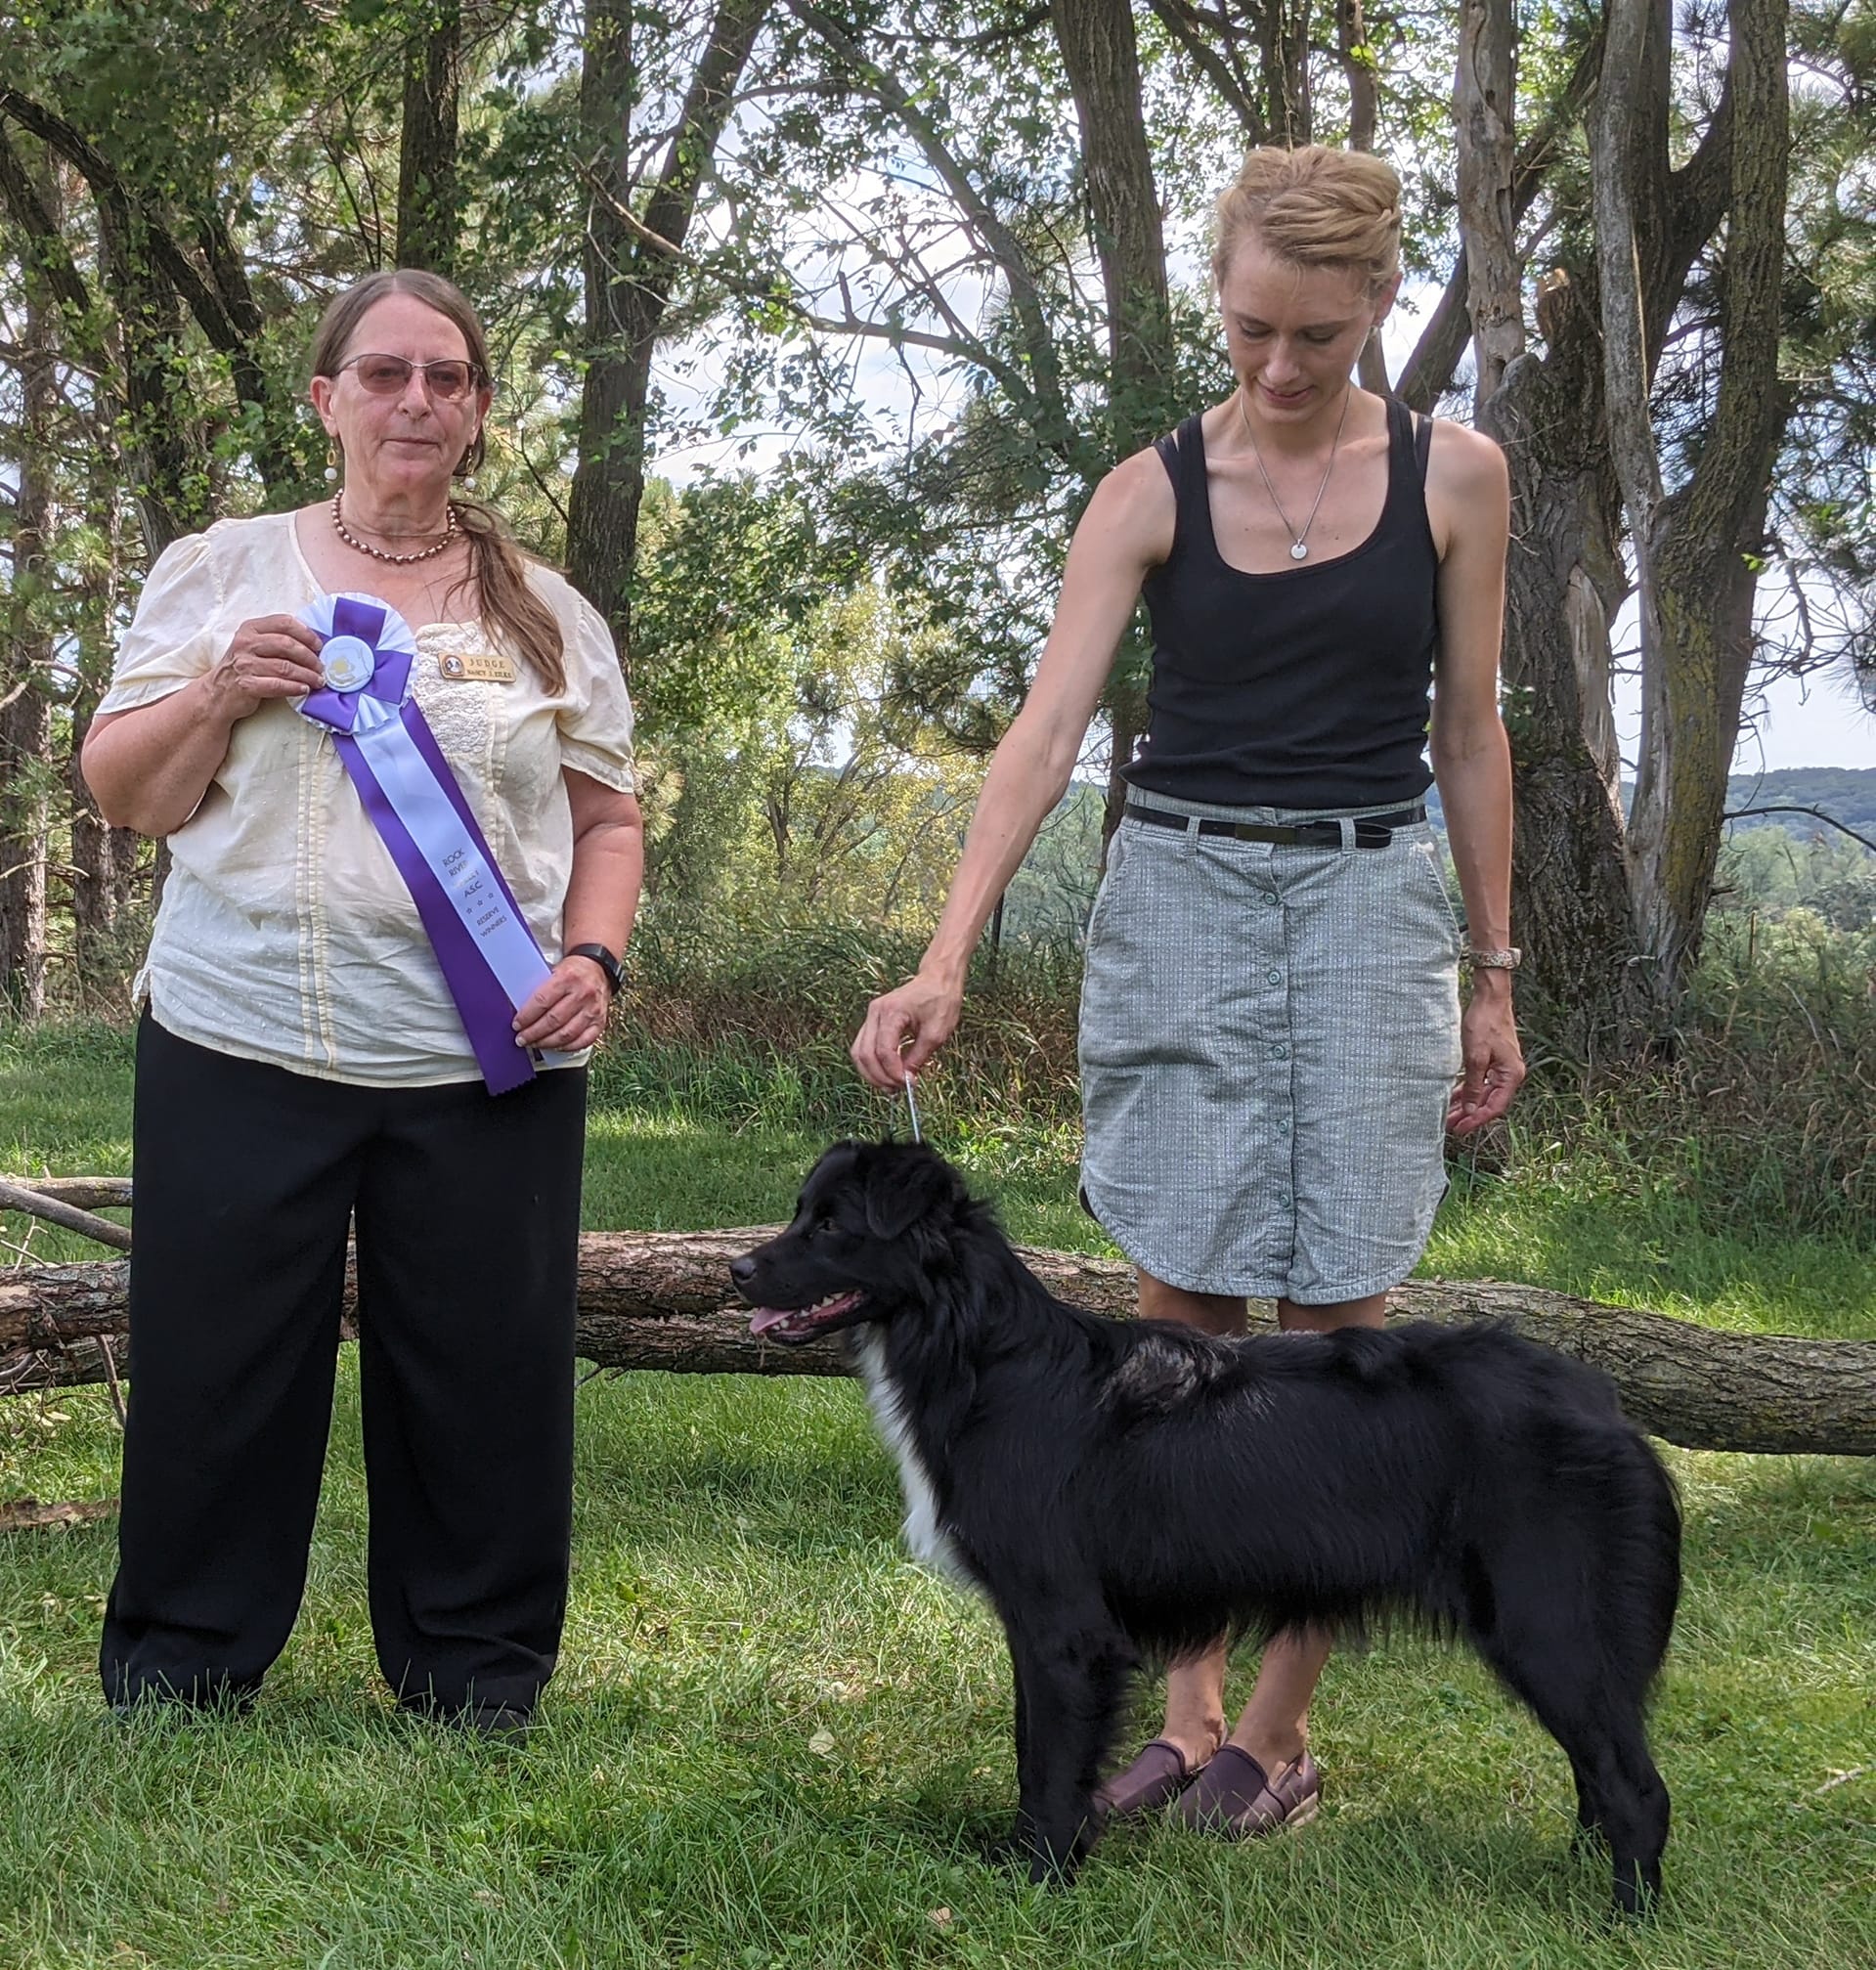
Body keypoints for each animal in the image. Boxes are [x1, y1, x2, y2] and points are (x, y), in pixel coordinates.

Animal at [730, 1141, 1680, 1914]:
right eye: (800, 1210)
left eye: (832, 1224)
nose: (736, 1269)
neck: (982, 1356)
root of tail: (1604, 1404)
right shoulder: (1036, 1631)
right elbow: (1031, 1748)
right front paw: (1034, 1859)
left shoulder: (1064, 1632)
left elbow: (1049, 1765)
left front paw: (1038, 1882)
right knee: (1597, 1776)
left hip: (1552, 1625)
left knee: (1635, 1789)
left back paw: (1621, 1920)